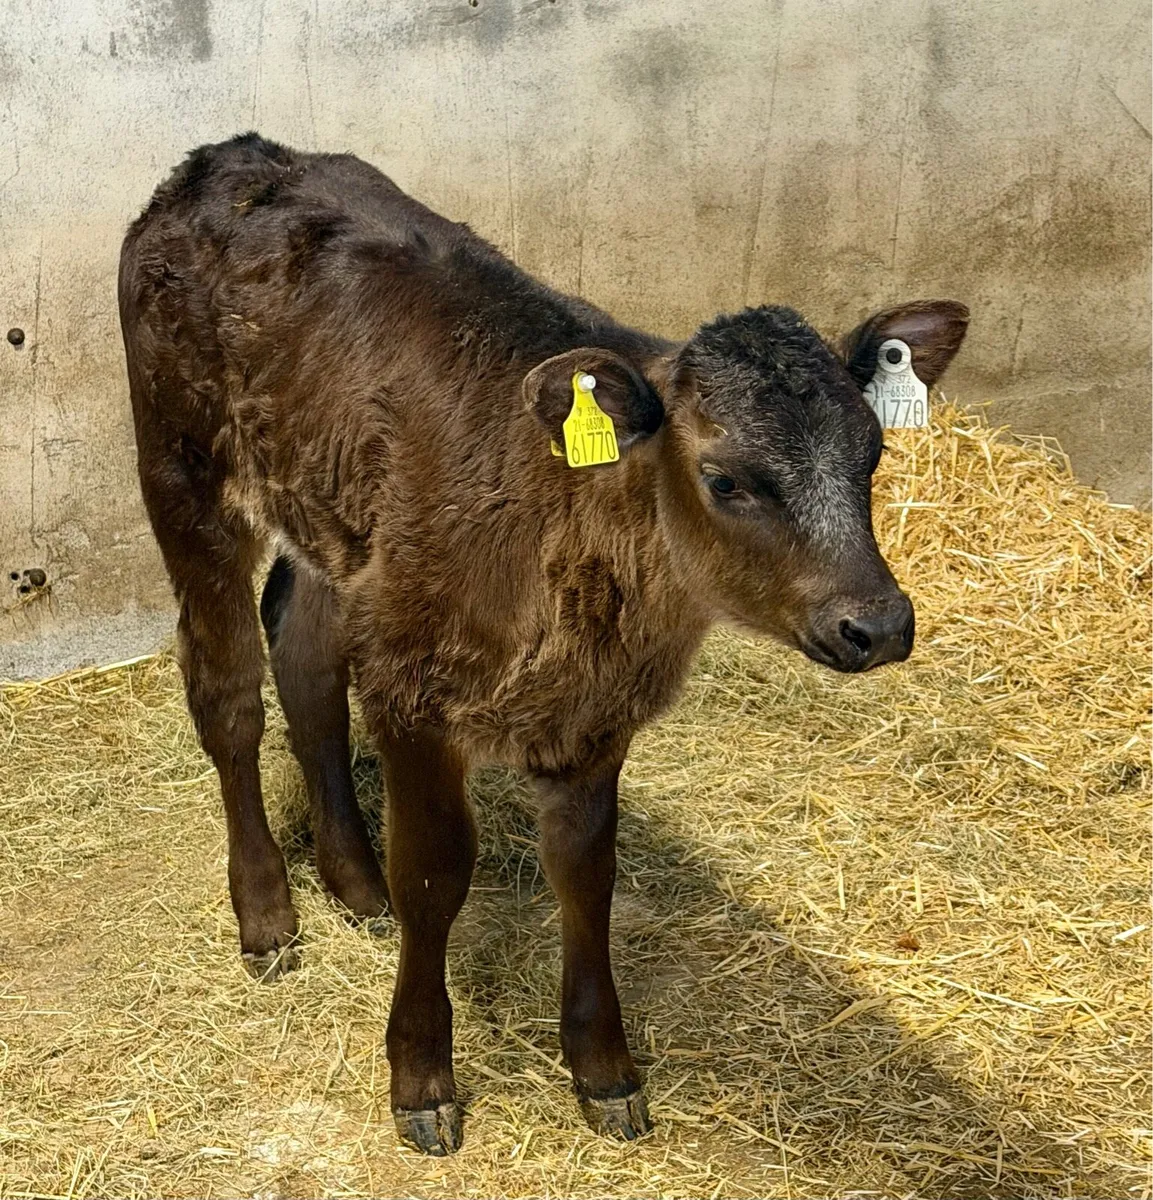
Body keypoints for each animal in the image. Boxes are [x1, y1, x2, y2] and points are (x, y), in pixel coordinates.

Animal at [118, 133, 968, 1155]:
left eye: (872, 453)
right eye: (726, 479)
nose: (877, 624)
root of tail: (228, 157)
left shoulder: (591, 715)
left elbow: (587, 875)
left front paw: (604, 1069)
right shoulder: (411, 687)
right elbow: (436, 874)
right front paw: (421, 1076)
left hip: (338, 527)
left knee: (306, 657)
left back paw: (352, 883)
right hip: (183, 471)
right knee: (230, 693)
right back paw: (267, 913)